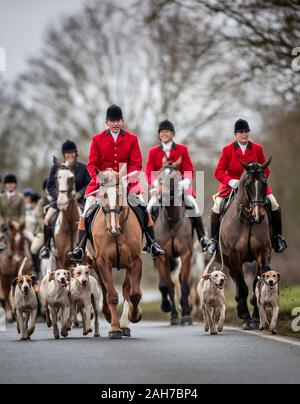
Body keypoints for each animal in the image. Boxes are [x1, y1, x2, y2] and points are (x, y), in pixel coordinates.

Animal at [90, 167, 143, 338]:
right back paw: (108, 315)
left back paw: (125, 323)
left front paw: (134, 315)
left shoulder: (135, 261)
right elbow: (111, 295)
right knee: (104, 287)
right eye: (103, 195)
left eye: (120, 195)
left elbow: (134, 294)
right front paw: (114, 327)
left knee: (126, 289)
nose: (113, 228)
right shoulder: (102, 261)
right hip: (95, 263)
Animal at [217, 157, 274, 328]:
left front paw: (256, 317)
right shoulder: (235, 257)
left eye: (264, 182)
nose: (258, 215)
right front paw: (247, 319)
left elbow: (259, 281)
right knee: (237, 281)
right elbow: (242, 287)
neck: (247, 220)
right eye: (248, 184)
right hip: (228, 260)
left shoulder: (263, 252)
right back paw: (241, 311)